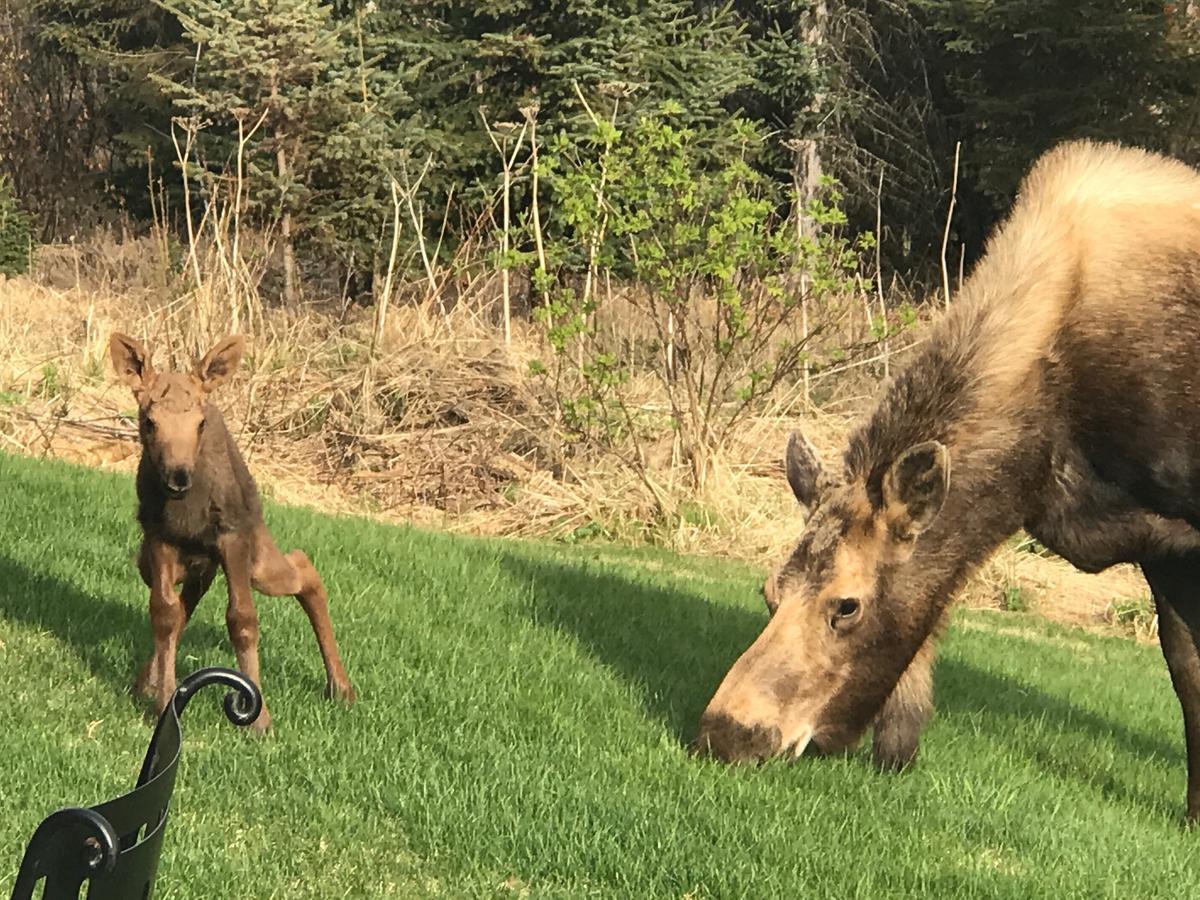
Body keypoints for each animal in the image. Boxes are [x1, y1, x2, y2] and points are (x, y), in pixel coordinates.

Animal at [109, 331, 352, 734]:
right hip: (173, 563)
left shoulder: (233, 535)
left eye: (200, 423)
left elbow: (242, 619)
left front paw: (260, 718)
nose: (178, 477)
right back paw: (147, 680)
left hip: (258, 560)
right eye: (149, 421)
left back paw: (341, 685)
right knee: (185, 606)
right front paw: (163, 700)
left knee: (304, 567)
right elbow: (164, 613)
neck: (186, 510)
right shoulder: (159, 537)